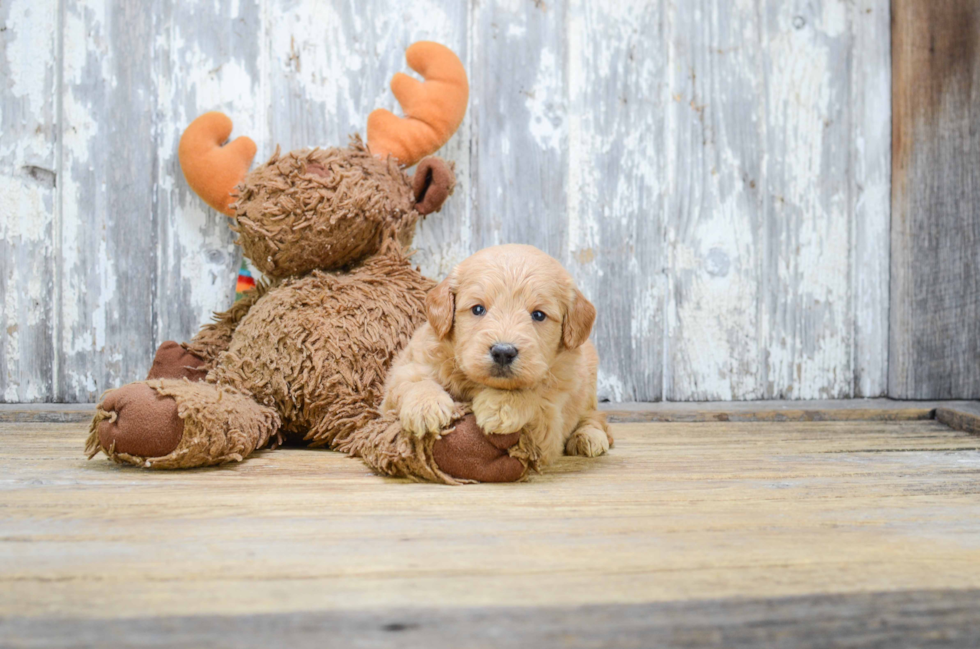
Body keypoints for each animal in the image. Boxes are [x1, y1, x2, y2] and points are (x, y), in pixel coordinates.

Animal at [378, 242, 608, 460]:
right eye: (478, 309)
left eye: (539, 315)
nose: (503, 352)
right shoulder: (407, 369)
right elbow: (412, 381)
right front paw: (426, 407)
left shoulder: (551, 424)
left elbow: (535, 397)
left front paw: (502, 406)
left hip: (588, 386)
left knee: (595, 417)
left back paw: (589, 437)